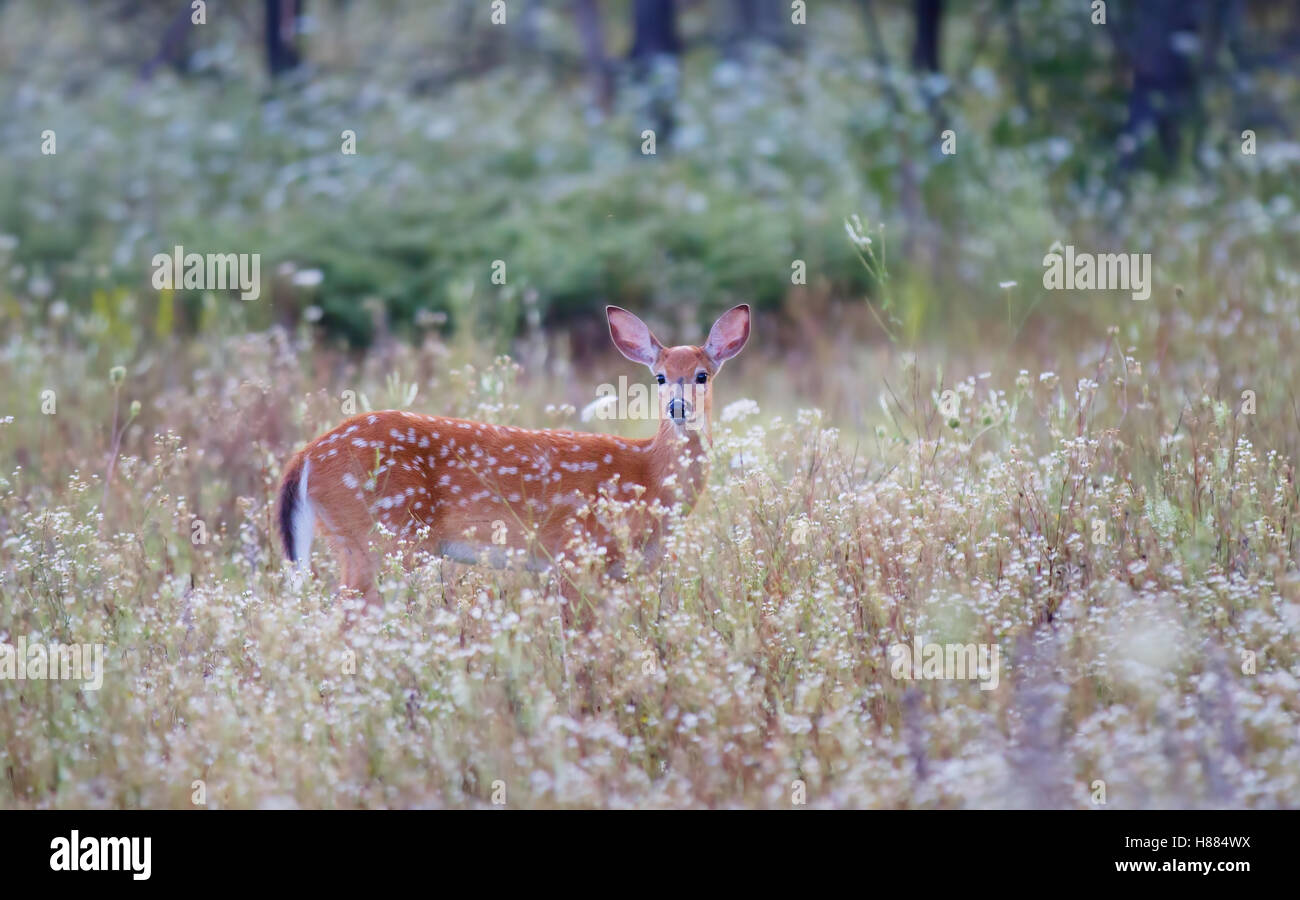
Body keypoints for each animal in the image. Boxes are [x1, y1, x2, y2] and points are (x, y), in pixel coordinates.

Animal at [279, 304, 754, 611]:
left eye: (702, 375)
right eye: (659, 376)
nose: (678, 407)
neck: (648, 476)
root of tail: (303, 458)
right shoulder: (575, 555)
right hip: (382, 535)